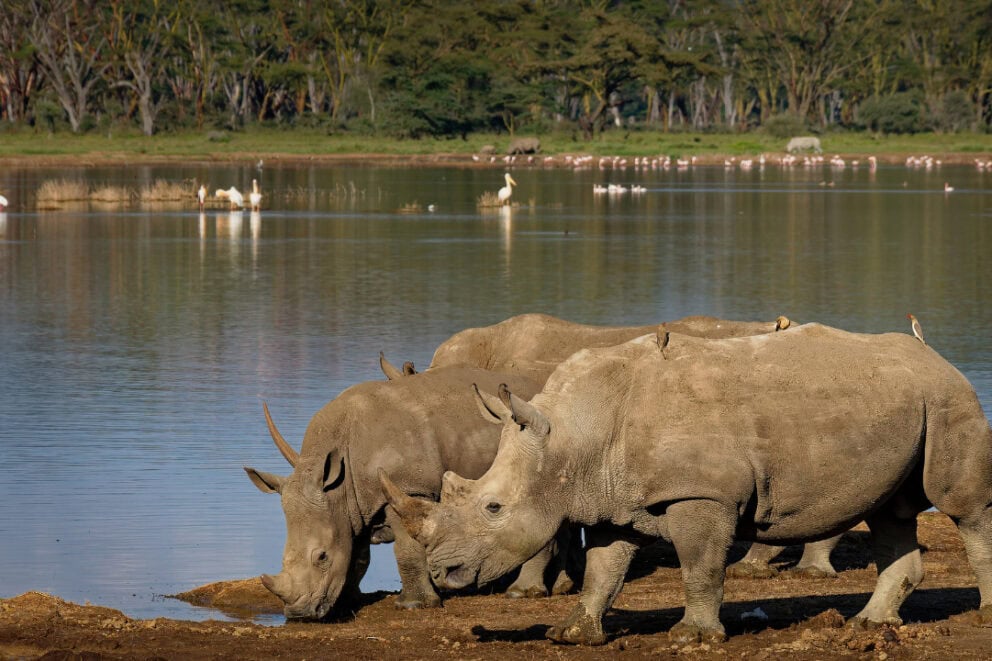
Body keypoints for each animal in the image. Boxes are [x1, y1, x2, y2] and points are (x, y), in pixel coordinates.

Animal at [244, 366, 570, 620]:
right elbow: (357, 554)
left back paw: (520, 593)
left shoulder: (410, 487)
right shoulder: (353, 504)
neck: (339, 485)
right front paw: (349, 601)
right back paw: (559, 587)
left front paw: (415, 605)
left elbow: (407, 548)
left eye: (322, 557)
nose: (299, 614)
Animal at [383, 324, 992, 645]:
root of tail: (937, 355)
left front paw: (691, 638)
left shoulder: (702, 494)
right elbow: (603, 571)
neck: (572, 435)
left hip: (949, 397)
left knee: (961, 506)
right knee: (892, 511)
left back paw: (982, 615)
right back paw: (867, 625)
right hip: (906, 403)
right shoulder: (610, 496)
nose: (444, 572)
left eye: (493, 507)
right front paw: (573, 633)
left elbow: (700, 568)